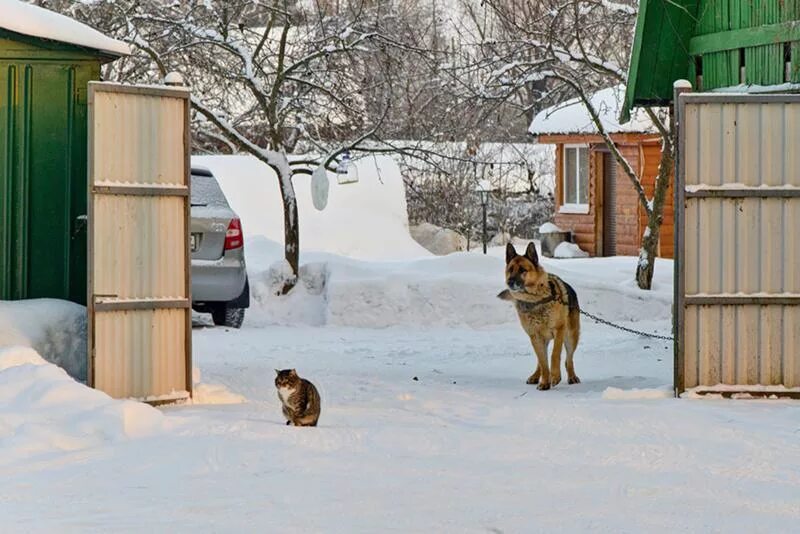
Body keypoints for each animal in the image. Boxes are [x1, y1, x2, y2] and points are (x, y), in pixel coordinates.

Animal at [496, 245, 580, 392]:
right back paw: (536, 376)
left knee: (568, 359)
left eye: (523, 270)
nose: (509, 282)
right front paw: (545, 381)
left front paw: (555, 376)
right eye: (510, 269)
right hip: (542, 340)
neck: (535, 300)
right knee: (541, 361)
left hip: (570, 337)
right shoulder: (534, 336)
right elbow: (543, 362)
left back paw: (572, 377)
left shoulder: (559, 330)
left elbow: (554, 355)